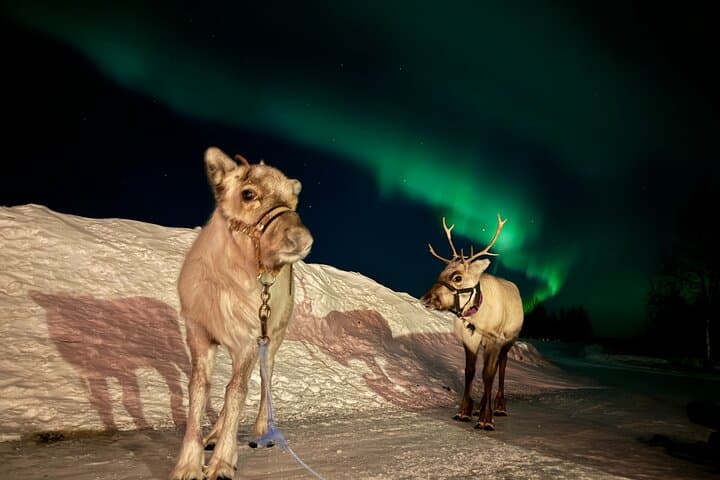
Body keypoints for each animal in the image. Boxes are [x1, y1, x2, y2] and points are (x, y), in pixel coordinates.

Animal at [170, 147, 313, 480]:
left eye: (293, 201)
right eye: (248, 193)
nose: (301, 240)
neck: (226, 282)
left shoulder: (249, 340)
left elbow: (237, 392)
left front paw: (222, 463)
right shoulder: (199, 333)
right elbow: (200, 390)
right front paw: (189, 464)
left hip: (272, 339)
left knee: (264, 380)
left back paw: (261, 432)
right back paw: (212, 436)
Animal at [420, 213, 523, 431]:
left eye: (457, 277)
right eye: (439, 273)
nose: (425, 299)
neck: (476, 314)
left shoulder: (494, 339)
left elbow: (488, 374)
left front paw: (486, 419)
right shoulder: (469, 339)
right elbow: (470, 371)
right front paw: (464, 411)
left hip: (509, 340)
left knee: (501, 366)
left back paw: (499, 406)